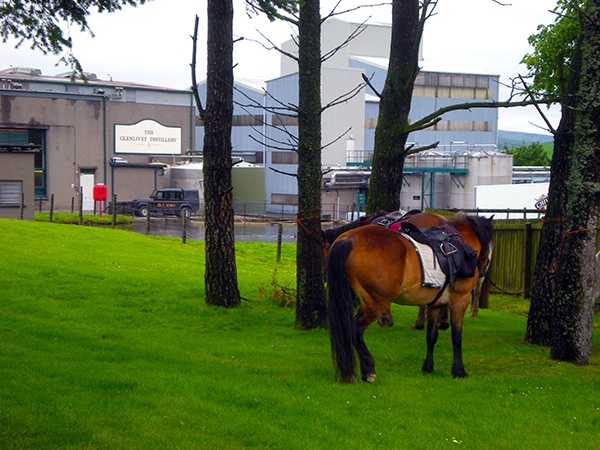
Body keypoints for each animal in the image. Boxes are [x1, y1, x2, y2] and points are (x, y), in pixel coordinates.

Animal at [326, 213, 494, 382]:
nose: (484, 268)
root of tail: (349, 239)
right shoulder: (460, 300)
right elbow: (457, 337)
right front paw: (459, 370)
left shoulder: (435, 305)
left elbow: (431, 335)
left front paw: (428, 367)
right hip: (376, 303)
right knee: (355, 329)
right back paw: (368, 368)